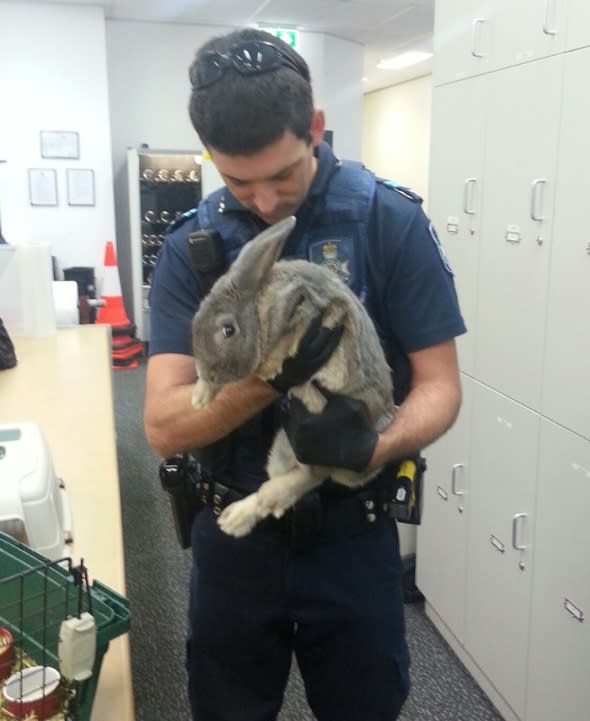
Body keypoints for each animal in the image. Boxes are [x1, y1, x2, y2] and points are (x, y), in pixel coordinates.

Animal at [193, 217, 398, 536]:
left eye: (228, 330)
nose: (208, 371)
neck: (257, 310)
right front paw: (199, 399)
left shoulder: (307, 313)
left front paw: (286, 377)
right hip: (283, 447)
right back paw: (234, 519)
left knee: (310, 476)